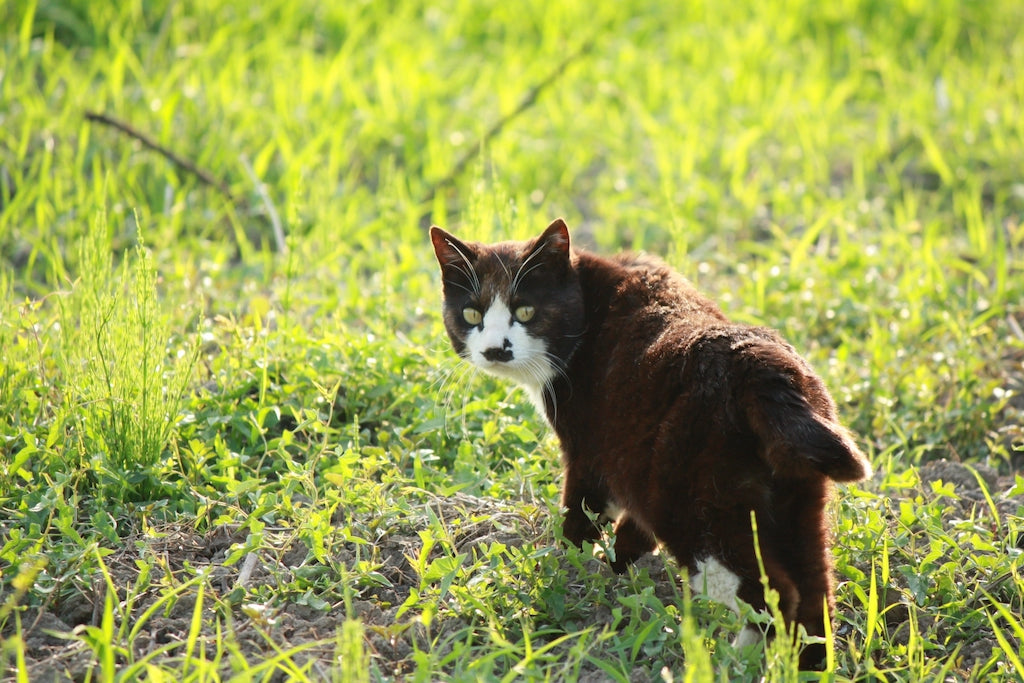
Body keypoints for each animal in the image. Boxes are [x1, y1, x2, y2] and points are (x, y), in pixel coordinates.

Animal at [430, 218, 872, 667]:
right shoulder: (630, 460)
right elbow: (632, 526)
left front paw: (565, 570)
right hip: (796, 501)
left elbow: (581, 516)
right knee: (815, 593)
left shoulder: (591, 454)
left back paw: (735, 662)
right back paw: (809, 666)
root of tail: (762, 369)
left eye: (525, 311)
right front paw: (616, 565)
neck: (590, 299)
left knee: (774, 593)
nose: (494, 349)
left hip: (697, 510)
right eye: (472, 313)